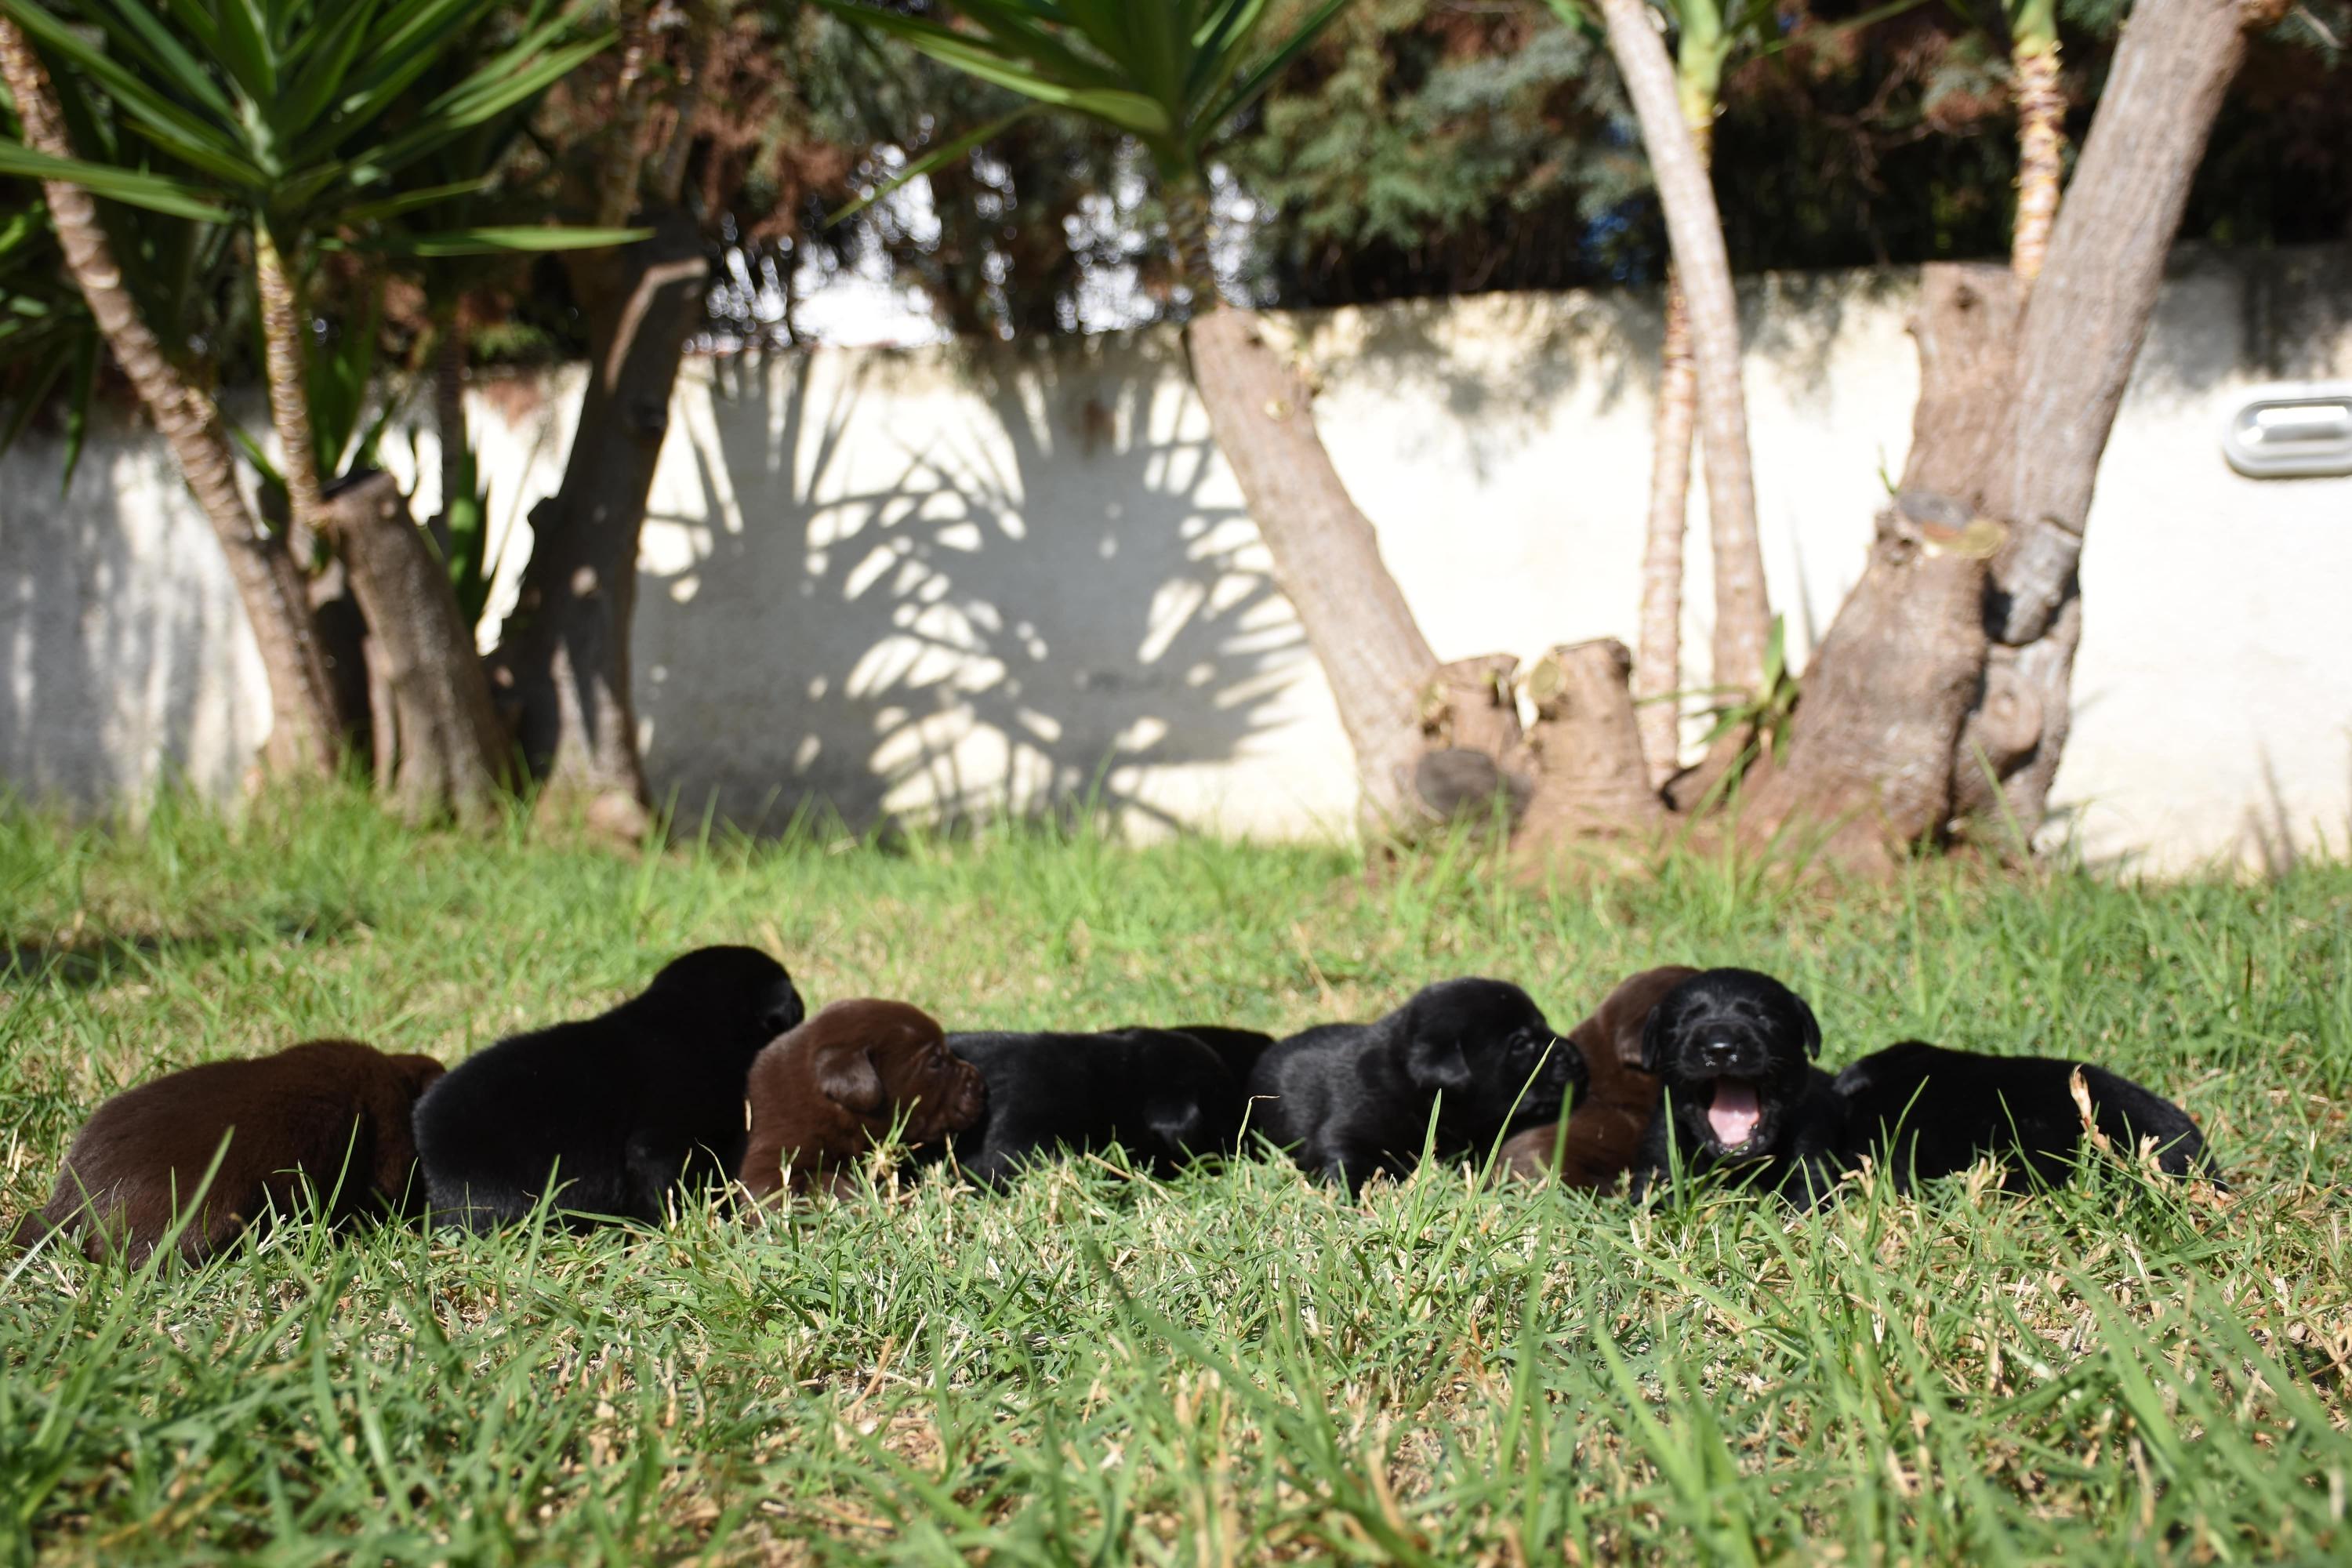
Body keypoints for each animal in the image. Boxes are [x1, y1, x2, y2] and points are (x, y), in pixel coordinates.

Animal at [1628, 968, 1844, 1213]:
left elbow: (1806, 1199)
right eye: (1682, 1023)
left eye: (1763, 1018)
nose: (1720, 1048)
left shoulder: (1808, 1151)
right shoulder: (1660, 1145)